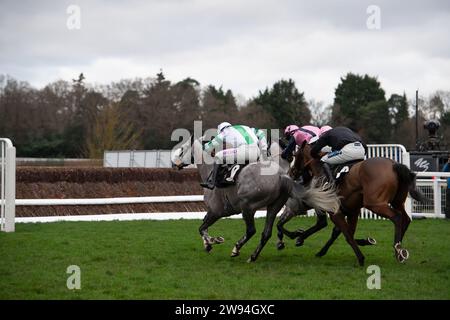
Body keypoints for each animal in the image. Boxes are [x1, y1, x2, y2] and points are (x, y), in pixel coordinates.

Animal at [172, 136, 342, 262]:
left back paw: (237, 249)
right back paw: (254, 256)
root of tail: (282, 175)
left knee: (252, 230)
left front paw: (210, 242)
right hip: (274, 206)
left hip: (248, 207)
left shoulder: (216, 211)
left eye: (181, 149)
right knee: (267, 232)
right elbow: (203, 227)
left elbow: (201, 228)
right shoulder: (213, 211)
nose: (174, 164)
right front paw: (212, 241)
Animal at [280, 144, 428, 266]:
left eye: (295, 155)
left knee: (397, 217)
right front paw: (367, 241)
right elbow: (344, 233)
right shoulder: (352, 211)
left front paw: (361, 258)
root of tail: (394, 165)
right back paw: (399, 252)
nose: (291, 172)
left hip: (375, 204)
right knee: (406, 219)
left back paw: (397, 248)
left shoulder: (336, 213)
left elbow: (347, 235)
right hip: (397, 202)